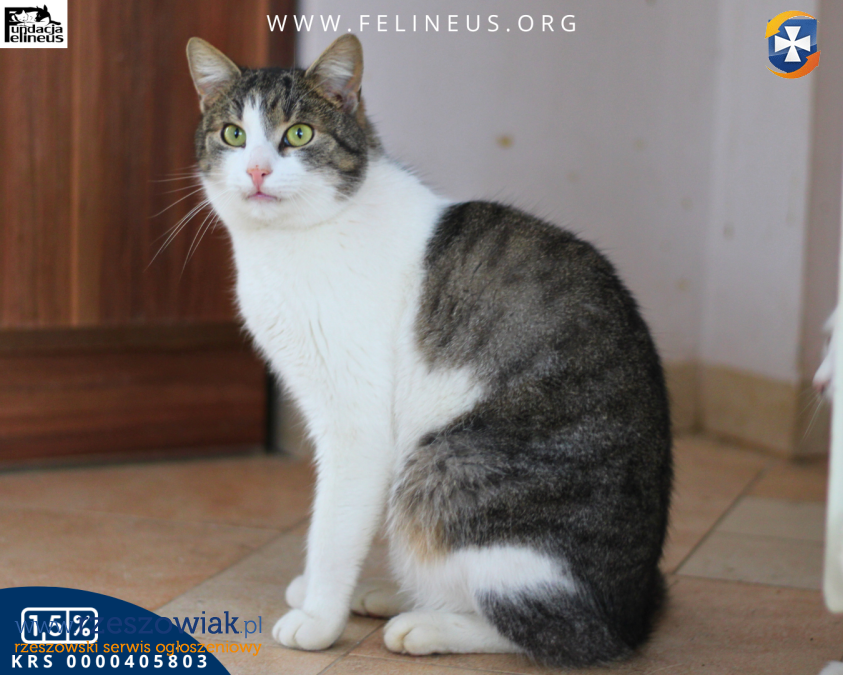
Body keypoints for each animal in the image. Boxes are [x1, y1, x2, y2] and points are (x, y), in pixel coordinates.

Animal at [186, 34, 673, 667]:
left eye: (299, 133)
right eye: (233, 135)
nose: (258, 170)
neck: (289, 245)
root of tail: (636, 611)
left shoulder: (358, 424)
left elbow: (332, 527)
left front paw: (317, 617)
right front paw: (318, 595)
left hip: (442, 471)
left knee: (563, 633)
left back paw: (424, 625)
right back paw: (390, 595)